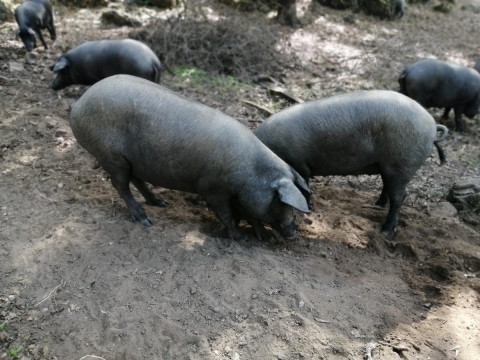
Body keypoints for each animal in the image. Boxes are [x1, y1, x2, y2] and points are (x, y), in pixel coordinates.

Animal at [70, 74, 312, 240]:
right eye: (280, 202)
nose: (293, 235)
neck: (250, 172)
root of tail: (78, 105)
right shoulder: (211, 188)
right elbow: (226, 214)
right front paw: (239, 237)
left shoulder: (238, 193)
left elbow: (249, 213)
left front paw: (265, 237)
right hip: (111, 156)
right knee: (121, 185)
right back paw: (146, 220)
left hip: (131, 161)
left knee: (136, 179)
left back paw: (161, 203)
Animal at [256, 91, 448, 235]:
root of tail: (432, 124)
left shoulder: (300, 165)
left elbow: (305, 188)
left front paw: (307, 208)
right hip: (388, 166)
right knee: (388, 187)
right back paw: (377, 205)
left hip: (401, 164)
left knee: (400, 197)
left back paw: (385, 231)